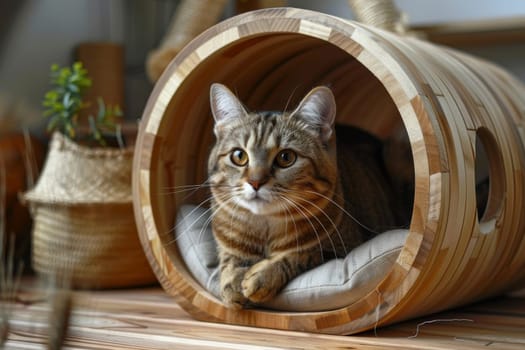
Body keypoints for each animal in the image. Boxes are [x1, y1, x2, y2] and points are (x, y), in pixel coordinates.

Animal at [207, 83, 408, 308]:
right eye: (239, 156)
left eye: (286, 157)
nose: (255, 182)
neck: (266, 227)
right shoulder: (225, 241)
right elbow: (229, 257)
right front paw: (233, 279)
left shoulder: (338, 250)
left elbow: (302, 254)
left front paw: (262, 276)